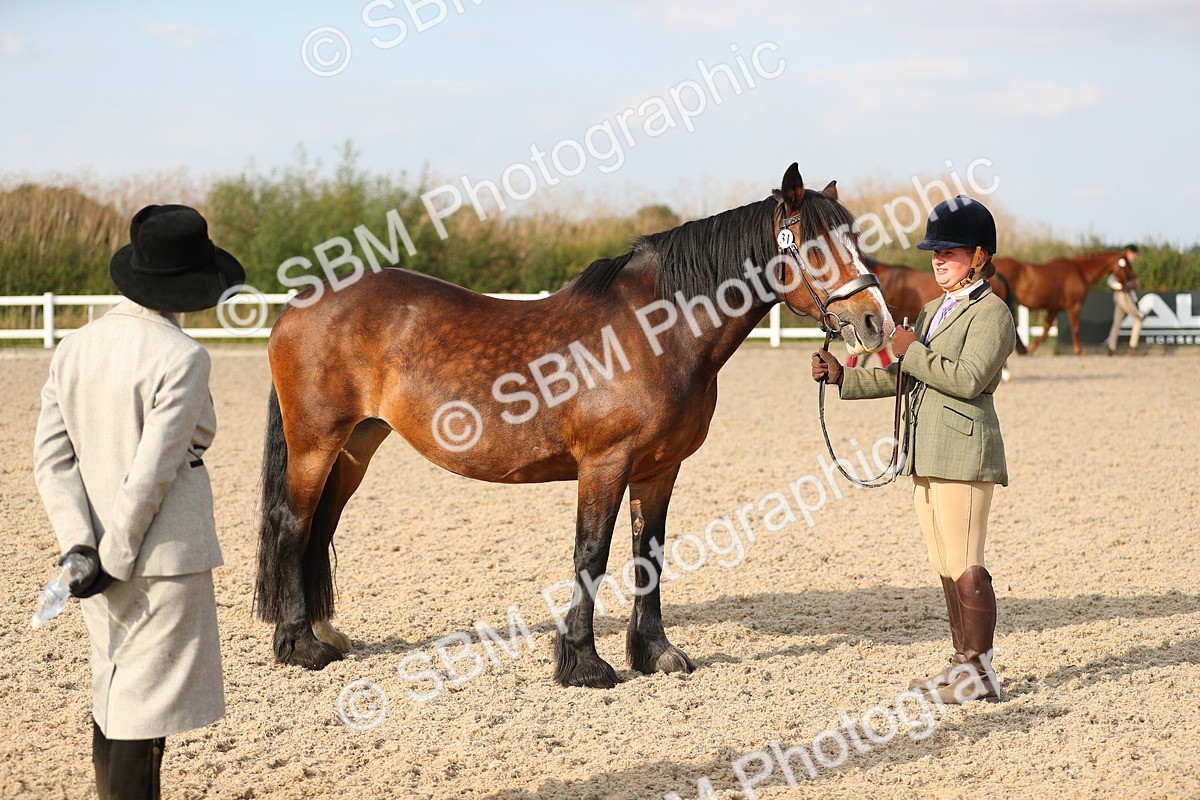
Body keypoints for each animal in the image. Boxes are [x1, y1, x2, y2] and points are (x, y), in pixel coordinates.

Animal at [253, 163, 895, 689]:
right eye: (813, 246)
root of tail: (298, 305)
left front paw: (656, 653)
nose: (874, 323)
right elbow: (593, 552)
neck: (653, 330)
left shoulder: (659, 469)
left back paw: (325, 635)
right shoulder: (605, 463)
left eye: (856, 241)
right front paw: (585, 663)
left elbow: (648, 552)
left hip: (355, 445)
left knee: (321, 526)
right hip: (315, 443)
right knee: (292, 523)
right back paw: (300, 646)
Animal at [993, 247, 1139, 355]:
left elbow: (1046, 330)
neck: (1080, 272)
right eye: (1127, 264)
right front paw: (1079, 351)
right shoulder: (1074, 307)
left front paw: (1032, 348)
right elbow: (1075, 328)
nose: (1134, 282)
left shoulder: (1053, 309)